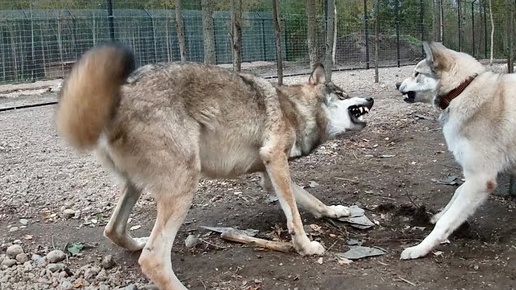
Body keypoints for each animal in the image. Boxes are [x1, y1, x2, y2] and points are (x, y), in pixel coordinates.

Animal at [55, 42, 374, 288]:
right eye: (342, 94)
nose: (370, 98)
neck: (294, 109)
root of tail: (119, 96)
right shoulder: (275, 160)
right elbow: (294, 215)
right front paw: (305, 246)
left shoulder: (269, 173)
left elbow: (312, 201)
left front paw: (336, 211)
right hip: (184, 183)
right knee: (153, 259)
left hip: (136, 187)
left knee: (113, 231)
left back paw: (137, 242)